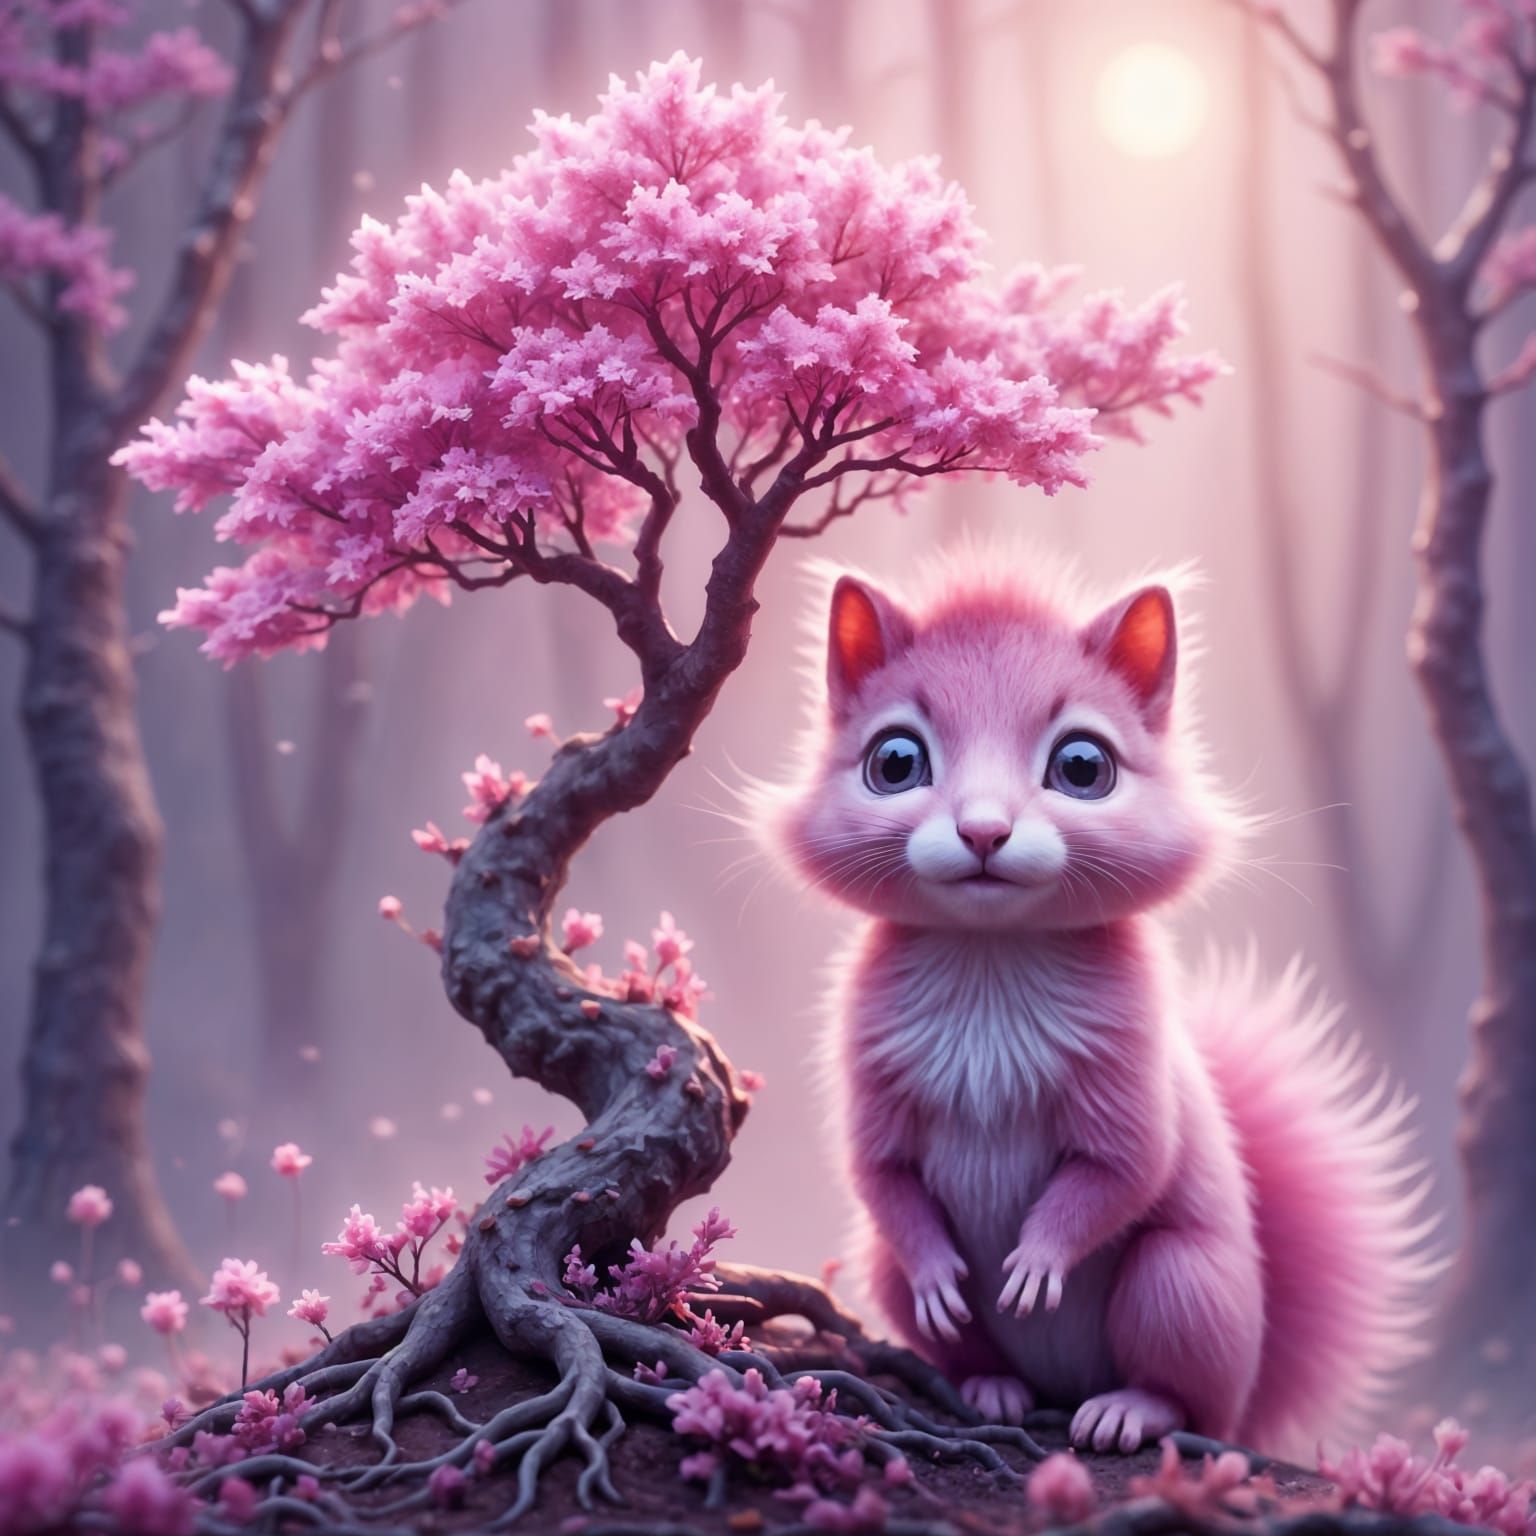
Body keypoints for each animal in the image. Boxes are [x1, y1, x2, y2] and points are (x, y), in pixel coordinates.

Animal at [757, 548, 1435, 1457]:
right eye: (894, 761)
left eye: (1084, 767)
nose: (983, 833)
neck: (992, 953)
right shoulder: (871, 1057)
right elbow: (880, 1172)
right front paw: (940, 1273)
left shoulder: (1127, 1064)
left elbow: (1121, 1168)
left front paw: (1037, 1261)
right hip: (888, 1278)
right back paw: (991, 1384)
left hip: (1182, 1290)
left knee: (1185, 1394)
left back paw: (1129, 1410)